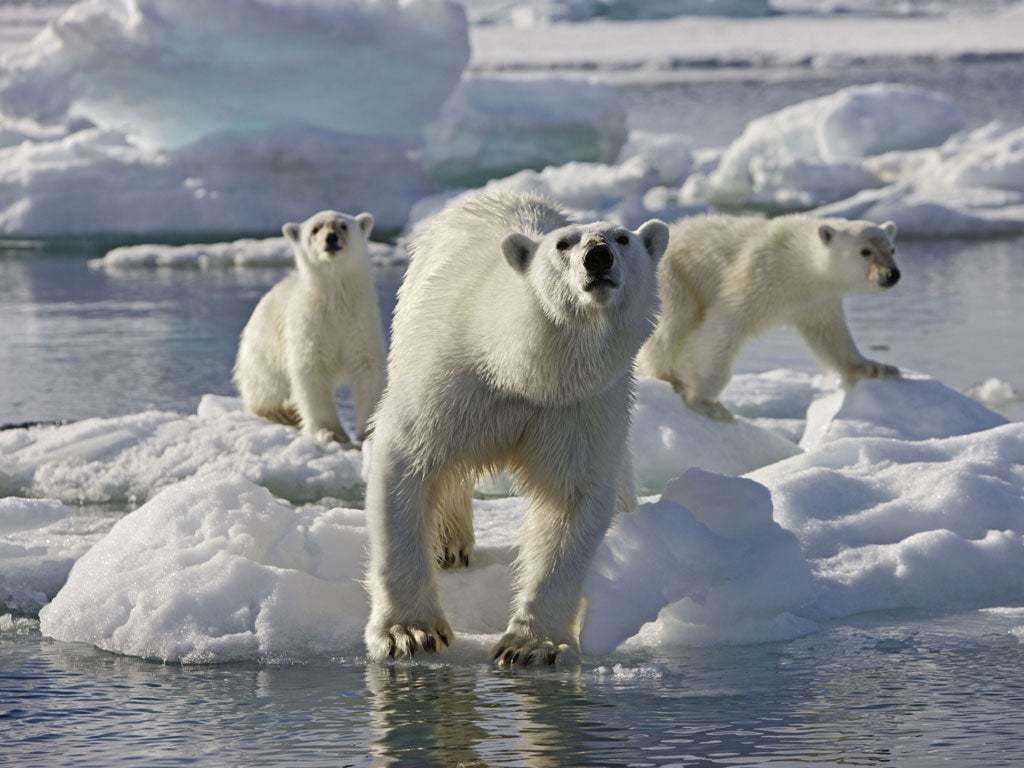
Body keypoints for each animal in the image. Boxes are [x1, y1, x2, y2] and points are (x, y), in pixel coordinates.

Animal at [364, 192, 667, 667]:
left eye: (622, 238)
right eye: (563, 244)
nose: (598, 256)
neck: (522, 371)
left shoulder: (578, 407)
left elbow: (571, 499)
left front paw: (531, 645)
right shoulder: (454, 381)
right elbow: (408, 461)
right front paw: (409, 632)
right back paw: (448, 545)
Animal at [634, 215, 901, 421]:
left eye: (891, 249)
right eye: (865, 251)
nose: (891, 274)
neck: (799, 262)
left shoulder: (817, 301)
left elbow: (831, 336)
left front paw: (877, 368)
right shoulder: (759, 275)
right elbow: (721, 327)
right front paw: (705, 402)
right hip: (673, 279)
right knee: (670, 327)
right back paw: (666, 378)